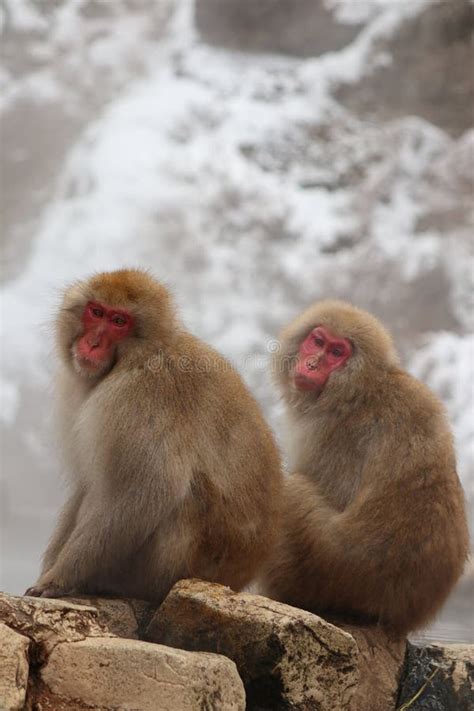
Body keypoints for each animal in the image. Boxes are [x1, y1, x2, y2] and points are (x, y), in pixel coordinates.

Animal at [25, 270, 284, 604]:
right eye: (96, 312)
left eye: (119, 321)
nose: (92, 343)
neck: (141, 354)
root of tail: (235, 580)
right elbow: (88, 483)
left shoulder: (143, 393)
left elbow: (148, 489)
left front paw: (59, 578)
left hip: (172, 565)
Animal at [262, 300, 468, 640]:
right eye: (317, 341)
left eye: (337, 352)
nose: (312, 364)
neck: (361, 388)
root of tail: (399, 615)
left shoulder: (329, 432)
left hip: (325, 569)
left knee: (293, 491)